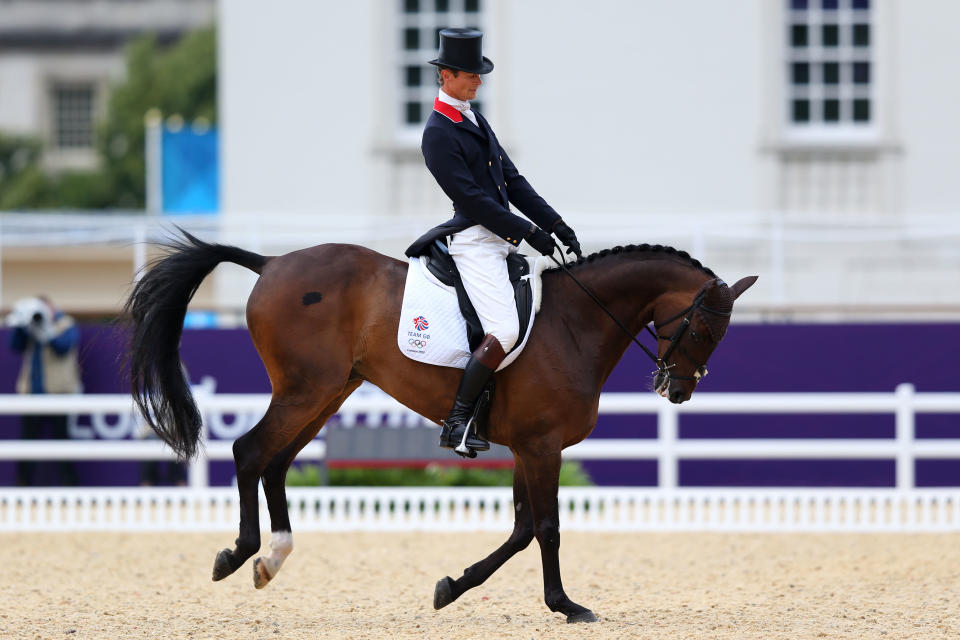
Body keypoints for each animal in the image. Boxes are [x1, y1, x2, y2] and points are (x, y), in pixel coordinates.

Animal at [125, 231, 756, 624]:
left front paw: (451, 588)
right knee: (249, 451)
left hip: (326, 393)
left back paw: (271, 559)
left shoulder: (527, 449)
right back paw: (240, 554)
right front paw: (566, 605)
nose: (679, 390)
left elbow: (521, 530)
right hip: (305, 389)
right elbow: (547, 529)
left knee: (276, 461)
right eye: (704, 329)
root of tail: (272, 263)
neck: (574, 323)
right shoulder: (541, 446)